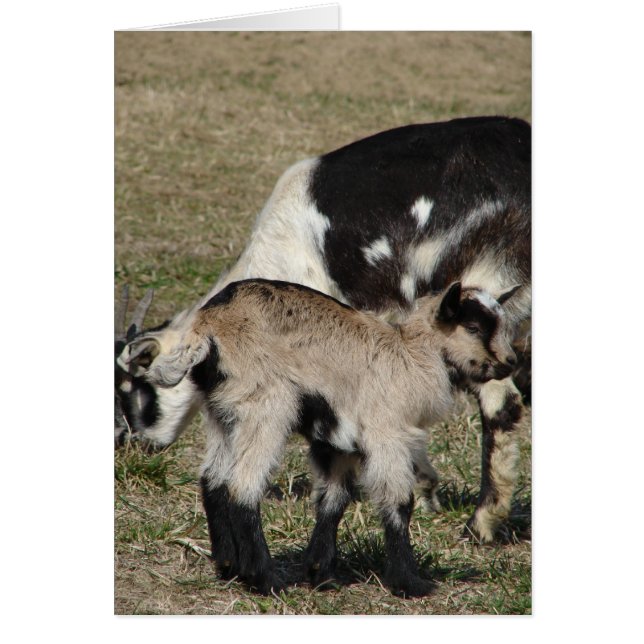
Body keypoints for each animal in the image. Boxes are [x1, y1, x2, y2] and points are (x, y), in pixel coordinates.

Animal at [115, 115, 531, 543]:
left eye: (131, 386)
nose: (130, 446)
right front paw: (424, 486)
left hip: (478, 302)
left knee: (502, 402)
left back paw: (482, 524)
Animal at [141, 278, 521, 597]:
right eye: (473, 327)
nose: (510, 362)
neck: (410, 356)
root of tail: (209, 324)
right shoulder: (387, 432)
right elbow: (398, 501)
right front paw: (410, 583)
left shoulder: (337, 443)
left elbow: (333, 500)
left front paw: (321, 574)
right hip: (267, 405)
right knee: (243, 486)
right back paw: (265, 580)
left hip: (223, 413)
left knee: (213, 480)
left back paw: (228, 567)